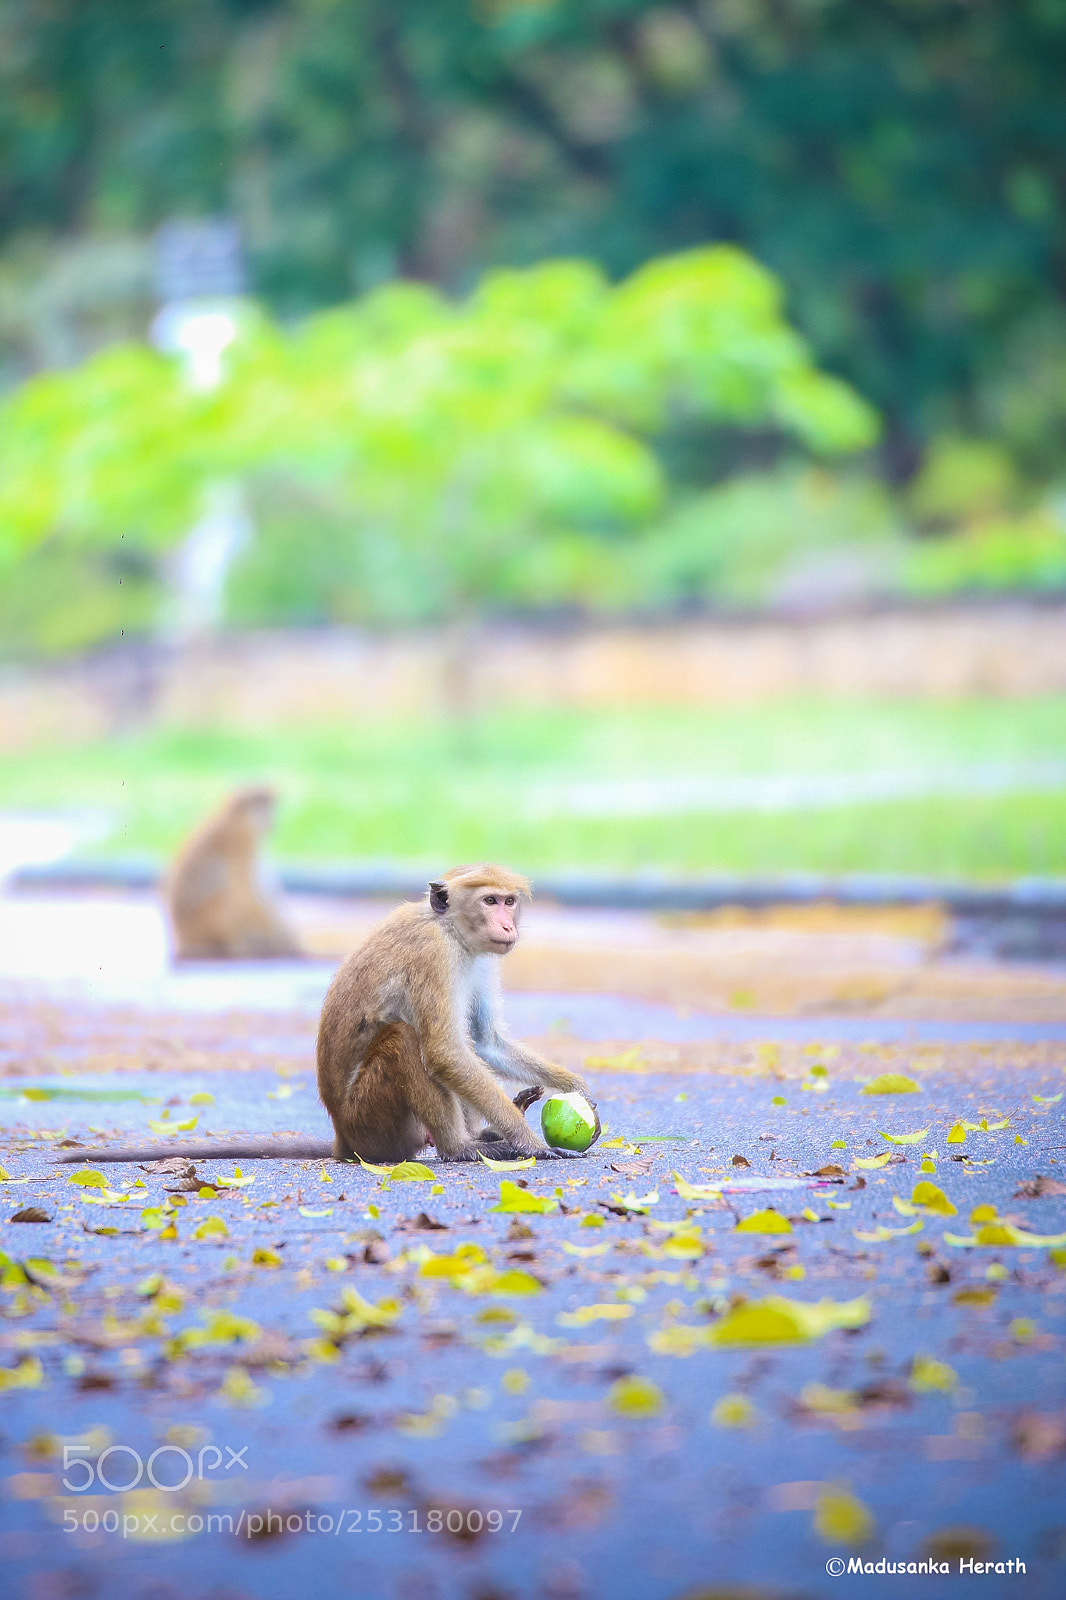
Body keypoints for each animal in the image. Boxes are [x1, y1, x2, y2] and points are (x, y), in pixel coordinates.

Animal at [59, 864, 594, 1167]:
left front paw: (577, 1089)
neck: (449, 930)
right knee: (408, 1040)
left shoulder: (480, 959)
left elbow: (483, 1042)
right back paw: (461, 1148)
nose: (506, 924)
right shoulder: (432, 957)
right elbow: (445, 1053)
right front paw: (528, 1142)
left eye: (509, 901)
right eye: (490, 900)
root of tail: (341, 1137)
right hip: (371, 1119)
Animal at [164, 786, 303, 960]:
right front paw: (283, 938)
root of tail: (182, 939)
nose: (273, 821)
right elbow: (245, 893)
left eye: (271, 805)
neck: (235, 816)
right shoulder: (242, 840)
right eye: (264, 805)